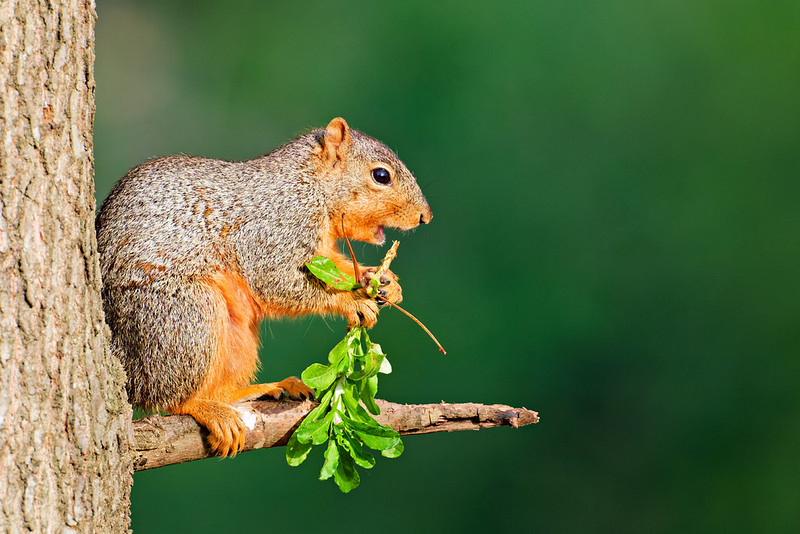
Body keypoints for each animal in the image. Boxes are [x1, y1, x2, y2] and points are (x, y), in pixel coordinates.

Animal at [96, 117, 432, 457]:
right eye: (381, 176)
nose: (425, 217)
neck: (311, 183)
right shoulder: (274, 228)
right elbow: (275, 280)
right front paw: (351, 303)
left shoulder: (320, 248)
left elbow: (335, 266)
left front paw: (381, 280)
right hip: (184, 318)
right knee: (167, 396)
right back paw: (207, 408)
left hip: (236, 335)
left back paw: (266, 388)